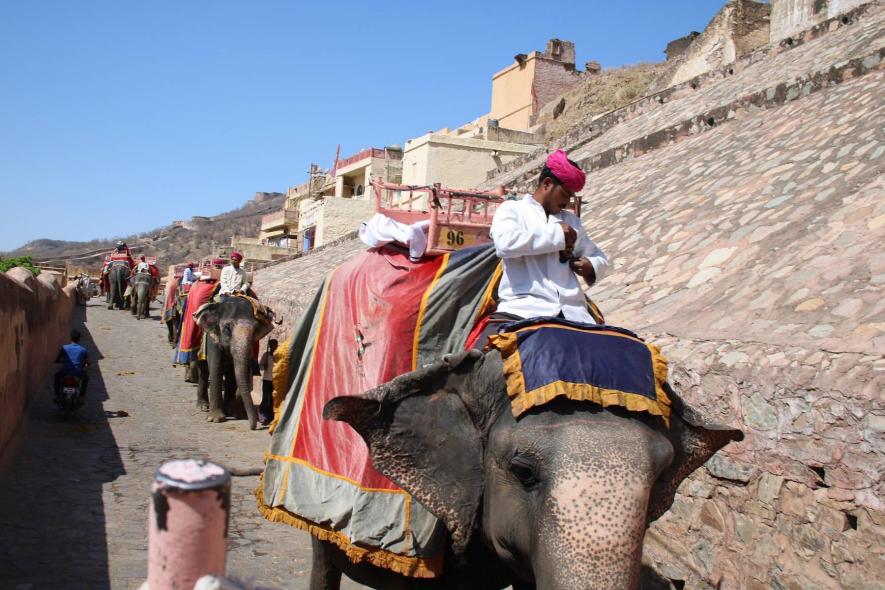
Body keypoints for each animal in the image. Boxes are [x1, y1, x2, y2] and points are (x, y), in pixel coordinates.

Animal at [194, 296, 275, 430]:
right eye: (227, 327)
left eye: (256, 329)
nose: (253, 427)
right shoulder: (213, 337)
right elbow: (216, 367)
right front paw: (216, 419)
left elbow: (233, 373)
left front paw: (232, 413)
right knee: (203, 370)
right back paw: (203, 406)